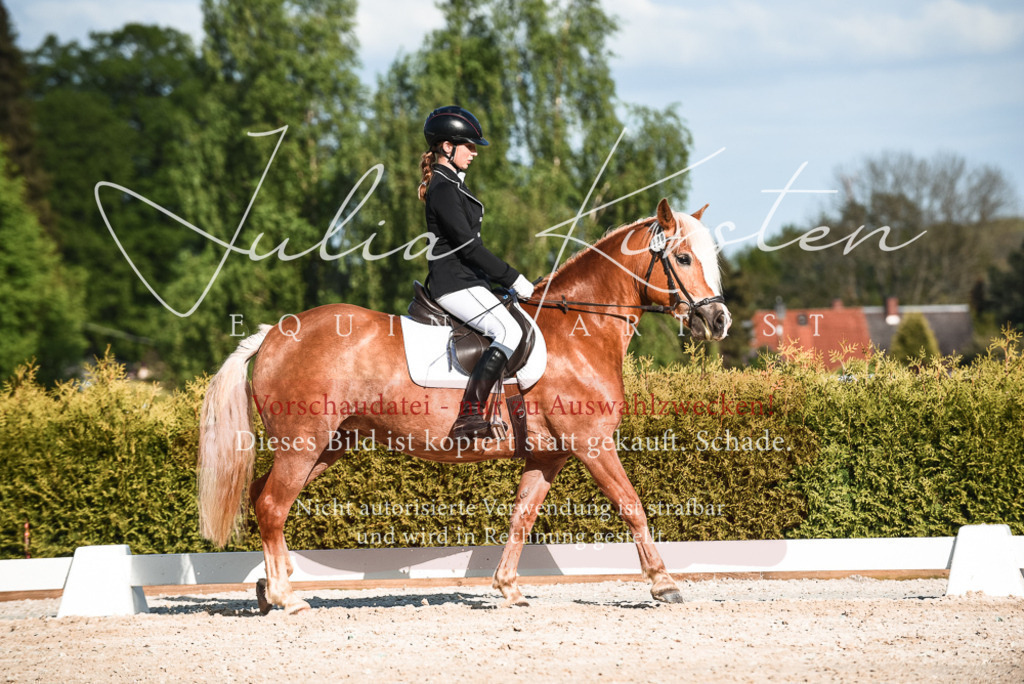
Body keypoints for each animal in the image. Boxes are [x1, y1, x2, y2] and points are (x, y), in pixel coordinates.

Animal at [197, 198, 731, 614]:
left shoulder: (549, 455)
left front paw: (509, 588)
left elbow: (522, 518)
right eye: (684, 258)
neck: (579, 331)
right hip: (304, 443)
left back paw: (271, 586)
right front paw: (664, 584)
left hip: (326, 445)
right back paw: (287, 597)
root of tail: (273, 335)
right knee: (272, 505)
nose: (719, 321)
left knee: (265, 499)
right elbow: (632, 505)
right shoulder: (592, 444)